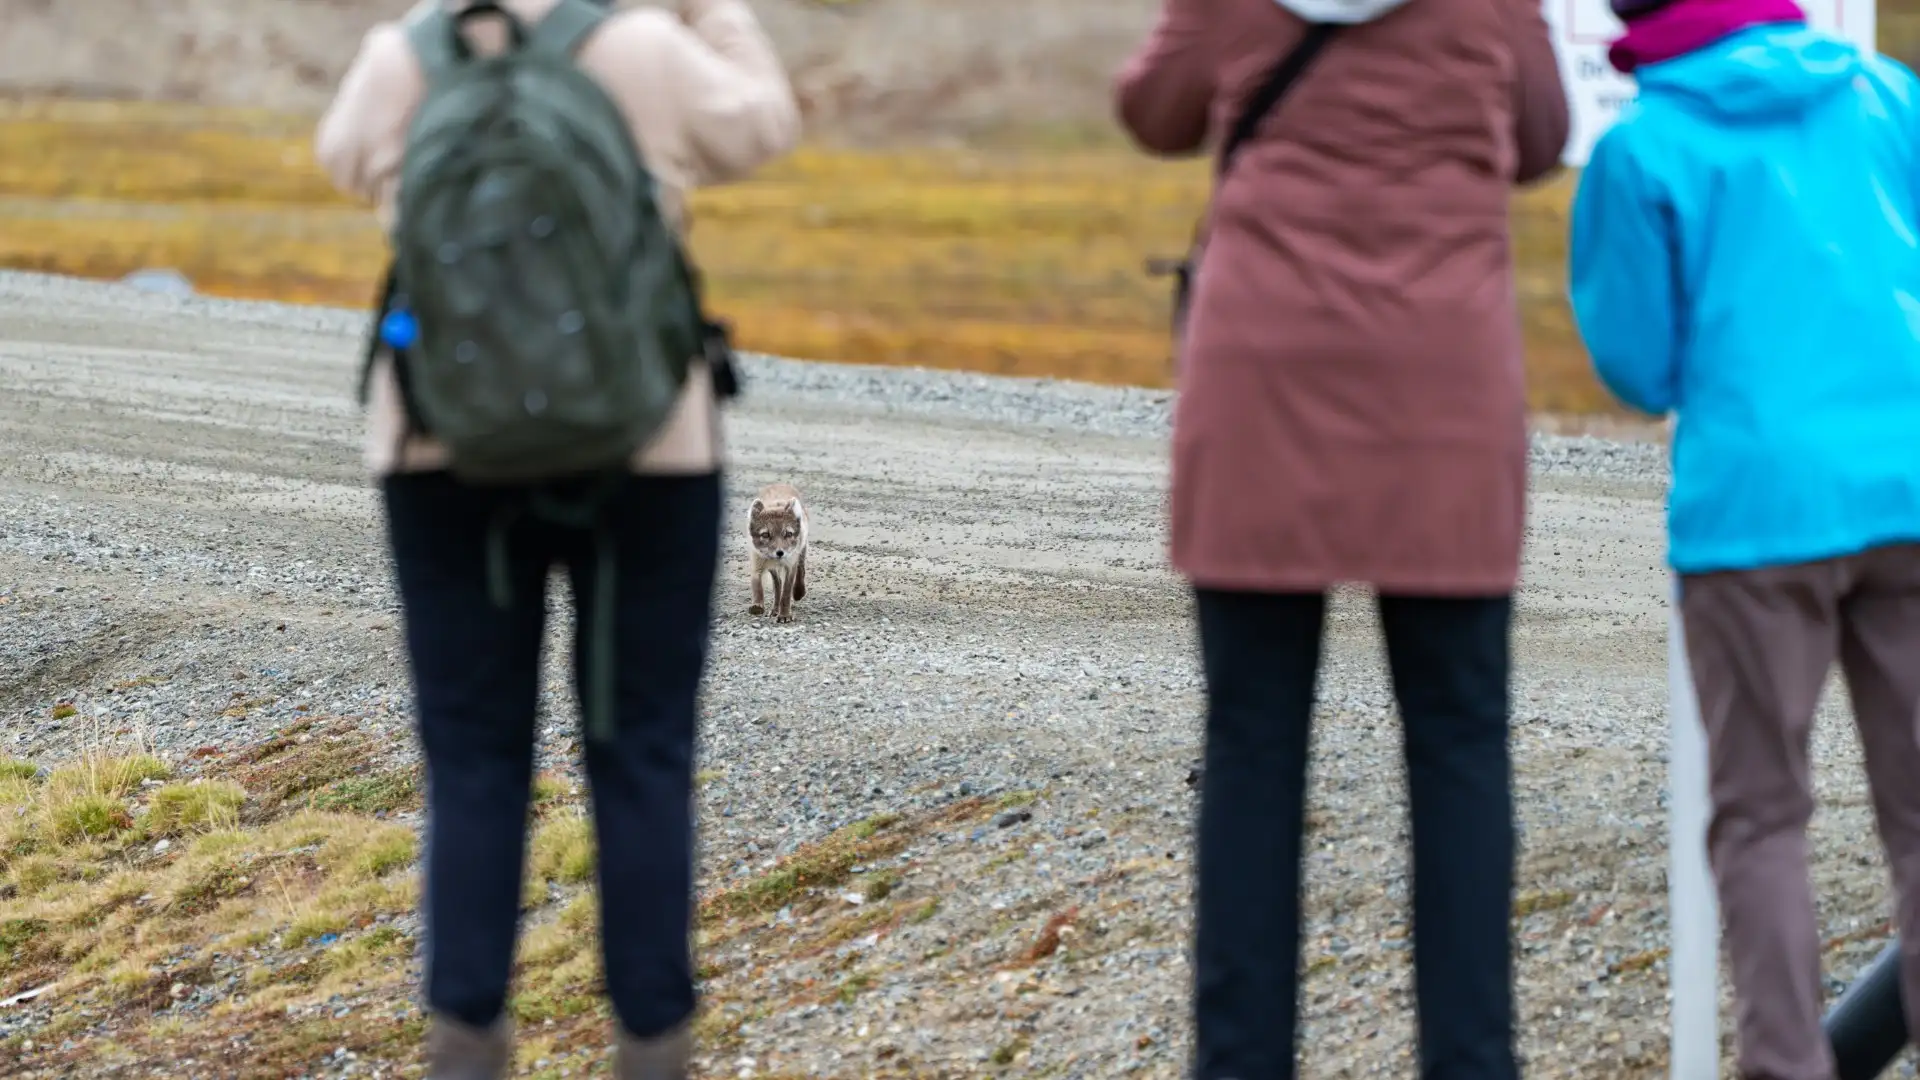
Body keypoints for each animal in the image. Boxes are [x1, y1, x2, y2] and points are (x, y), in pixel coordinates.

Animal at [747, 483, 809, 623]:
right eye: (765, 534)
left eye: (788, 534)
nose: (780, 553)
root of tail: (781, 483)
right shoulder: (757, 562)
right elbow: (757, 584)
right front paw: (757, 605)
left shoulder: (790, 565)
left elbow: (786, 593)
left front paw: (785, 615)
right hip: (772, 568)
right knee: (777, 585)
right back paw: (775, 609)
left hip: (801, 551)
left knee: (801, 569)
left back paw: (799, 592)